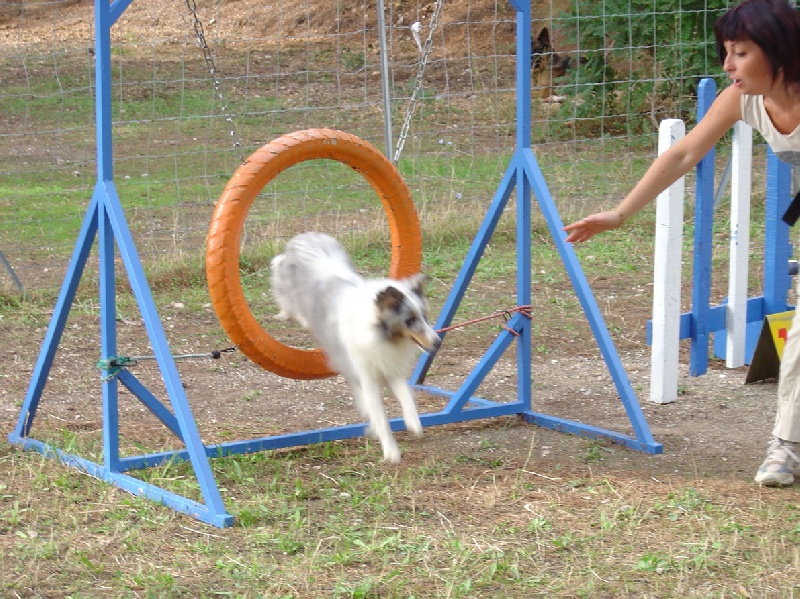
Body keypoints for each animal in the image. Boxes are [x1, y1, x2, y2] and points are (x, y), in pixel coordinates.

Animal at [272, 232, 440, 462]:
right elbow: (381, 417)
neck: (383, 335)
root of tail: (304, 236)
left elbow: (406, 396)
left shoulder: (389, 367)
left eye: (424, 316)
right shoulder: (367, 377)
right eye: (409, 320)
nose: (437, 342)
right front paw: (391, 451)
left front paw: (413, 423)